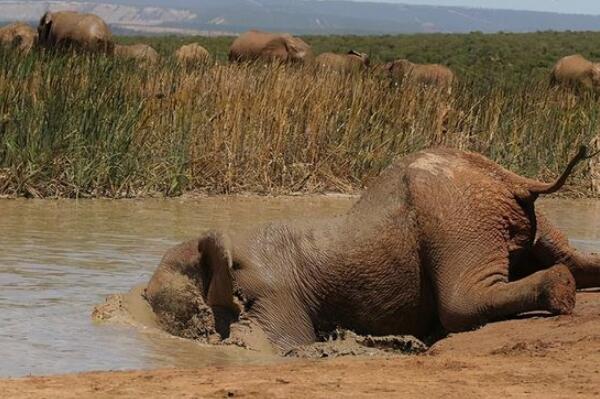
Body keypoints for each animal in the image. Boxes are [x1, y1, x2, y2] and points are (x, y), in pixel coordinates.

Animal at [144, 146, 600, 354]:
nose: (143, 295)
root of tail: (510, 177)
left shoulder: (273, 291)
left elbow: (281, 343)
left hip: (454, 214)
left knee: (460, 302)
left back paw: (559, 290)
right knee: (571, 257)